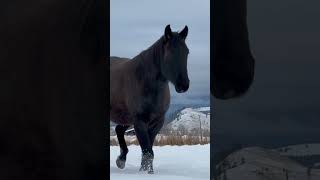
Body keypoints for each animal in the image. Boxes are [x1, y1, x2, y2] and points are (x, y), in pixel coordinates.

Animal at [110, 24, 190, 173]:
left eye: (186, 52)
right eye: (170, 52)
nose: (183, 85)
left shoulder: (157, 122)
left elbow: (149, 151)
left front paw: (147, 171)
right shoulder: (139, 121)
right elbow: (147, 151)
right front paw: (145, 172)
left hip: (127, 118)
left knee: (118, 129)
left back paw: (121, 160)